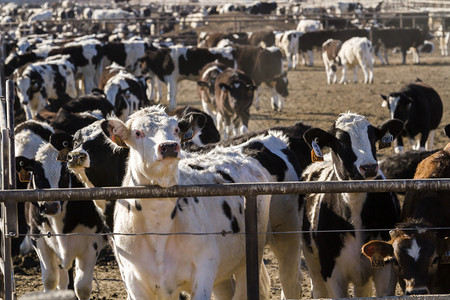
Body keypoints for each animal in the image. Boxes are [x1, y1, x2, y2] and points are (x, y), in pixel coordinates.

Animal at [300, 112, 402, 298]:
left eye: (373, 137)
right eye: (340, 141)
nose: (369, 167)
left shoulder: (387, 269)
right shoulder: (331, 271)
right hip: (312, 261)